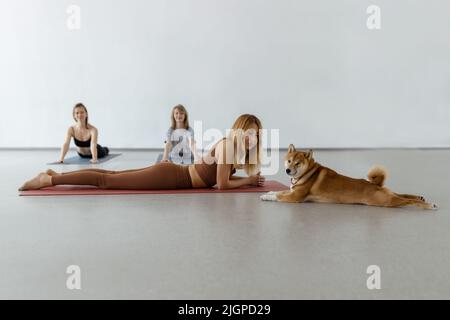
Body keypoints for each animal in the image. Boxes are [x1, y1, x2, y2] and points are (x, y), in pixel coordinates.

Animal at [262, 144, 438, 210]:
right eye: (289, 161)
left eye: (298, 163)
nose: (288, 170)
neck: (308, 172)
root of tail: (375, 185)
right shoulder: (292, 191)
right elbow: (279, 191)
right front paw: (267, 193)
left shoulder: (295, 197)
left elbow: (279, 196)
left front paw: (268, 196)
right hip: (387, 195)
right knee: (402, 194)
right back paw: (420, 197)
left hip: (385, 201)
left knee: (406, 200)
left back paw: (428, 205)